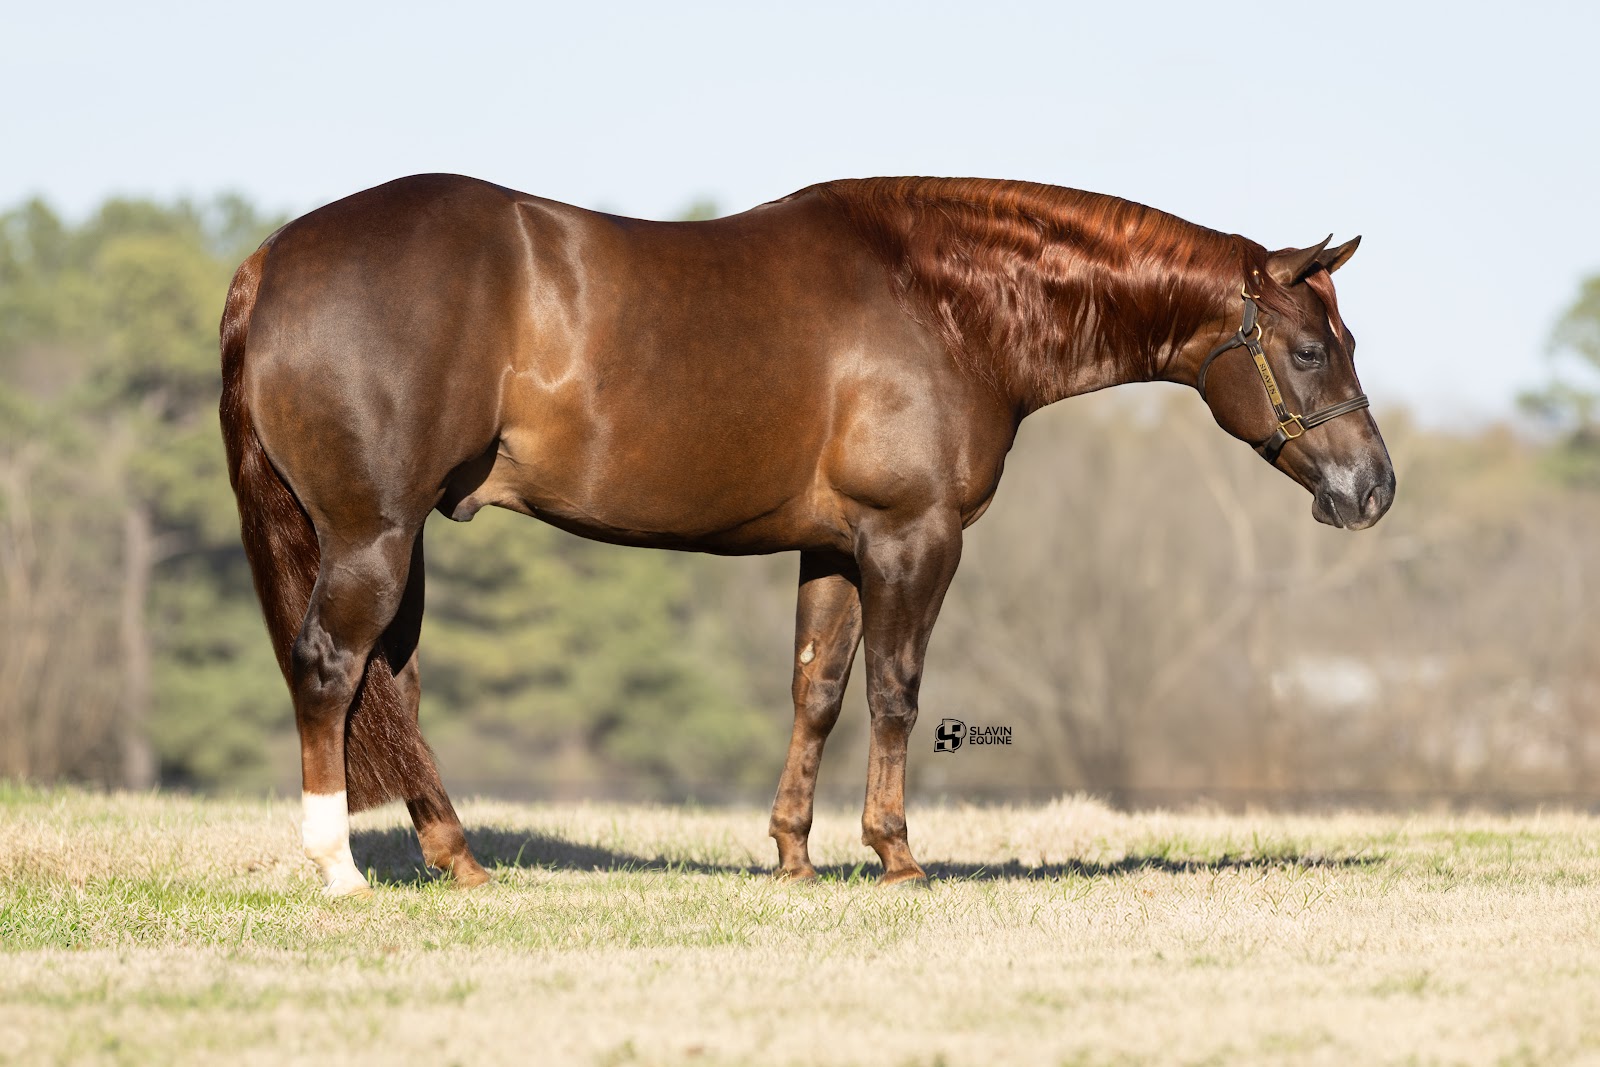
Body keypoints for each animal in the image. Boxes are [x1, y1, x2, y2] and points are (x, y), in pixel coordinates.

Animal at [220, 174, 1393, 896]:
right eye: (1306, 349)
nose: (1373, 487)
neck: (942, 302)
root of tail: (270, 260)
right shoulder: (913, 538)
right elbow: (894, 692)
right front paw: (896, 854)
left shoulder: (834, 546)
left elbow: (816, 689)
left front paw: (793, 854)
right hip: (372, 534)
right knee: (331, 666)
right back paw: (339, 865)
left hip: (396, 539)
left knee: (391, 683)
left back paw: (458, 859)